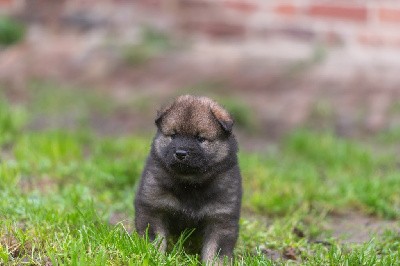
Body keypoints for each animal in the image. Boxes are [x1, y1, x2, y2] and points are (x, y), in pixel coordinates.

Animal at [134, 94, 242, 262]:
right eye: (173, 135)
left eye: (200, 138)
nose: (180, 153)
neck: (190, 183)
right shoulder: (153, 207)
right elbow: (155, 239)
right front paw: (154, 257)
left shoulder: (221, 218)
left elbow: (216, 250)